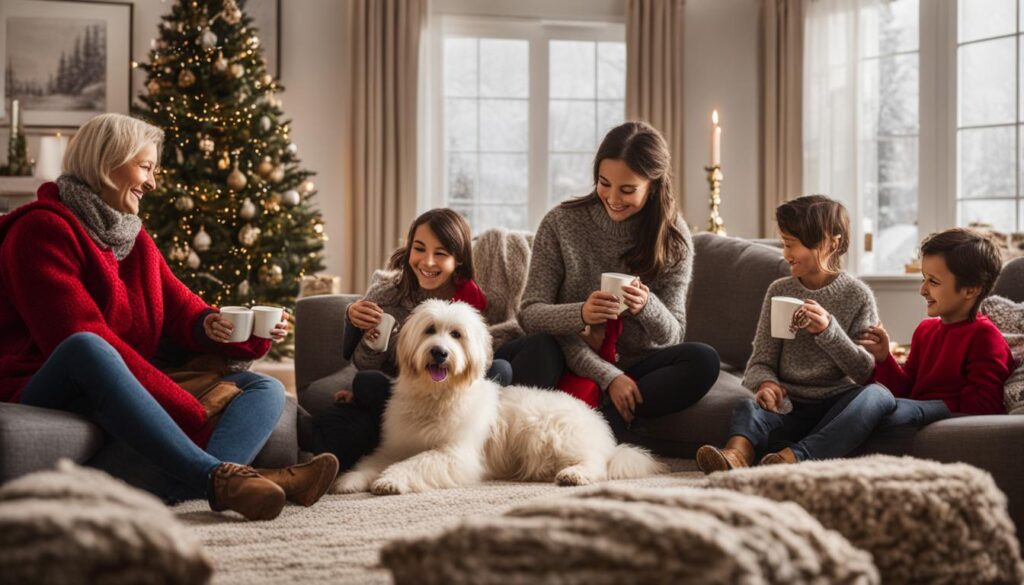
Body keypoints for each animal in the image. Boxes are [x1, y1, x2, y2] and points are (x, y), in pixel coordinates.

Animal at [329, 299, 663, 495]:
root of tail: (602, 430)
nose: (439, 353)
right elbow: (372, 461)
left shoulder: (455, 453)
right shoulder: (396, 446)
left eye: (456, 334)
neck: (437, 395)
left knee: (596, 463)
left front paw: (389, 481)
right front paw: (348, 480)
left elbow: (418, 463)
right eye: (430, 330)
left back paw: (573, 475)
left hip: (550, 433)